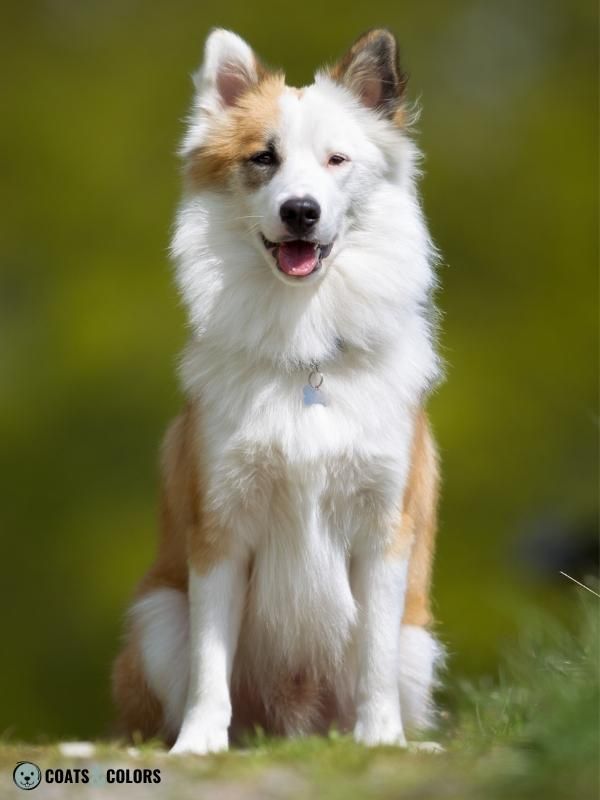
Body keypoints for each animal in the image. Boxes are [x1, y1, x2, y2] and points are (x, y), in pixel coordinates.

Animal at [112, 23, 442, 752]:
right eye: (264, 158)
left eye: (337, 160)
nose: (300, 211)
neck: (305, 350)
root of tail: (294, 726)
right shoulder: (221, 529)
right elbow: (211, 662)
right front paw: (199, 745)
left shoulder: (383, 529)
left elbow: (373, 657)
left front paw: (381, 740)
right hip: (157, 618)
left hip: (419, 647)